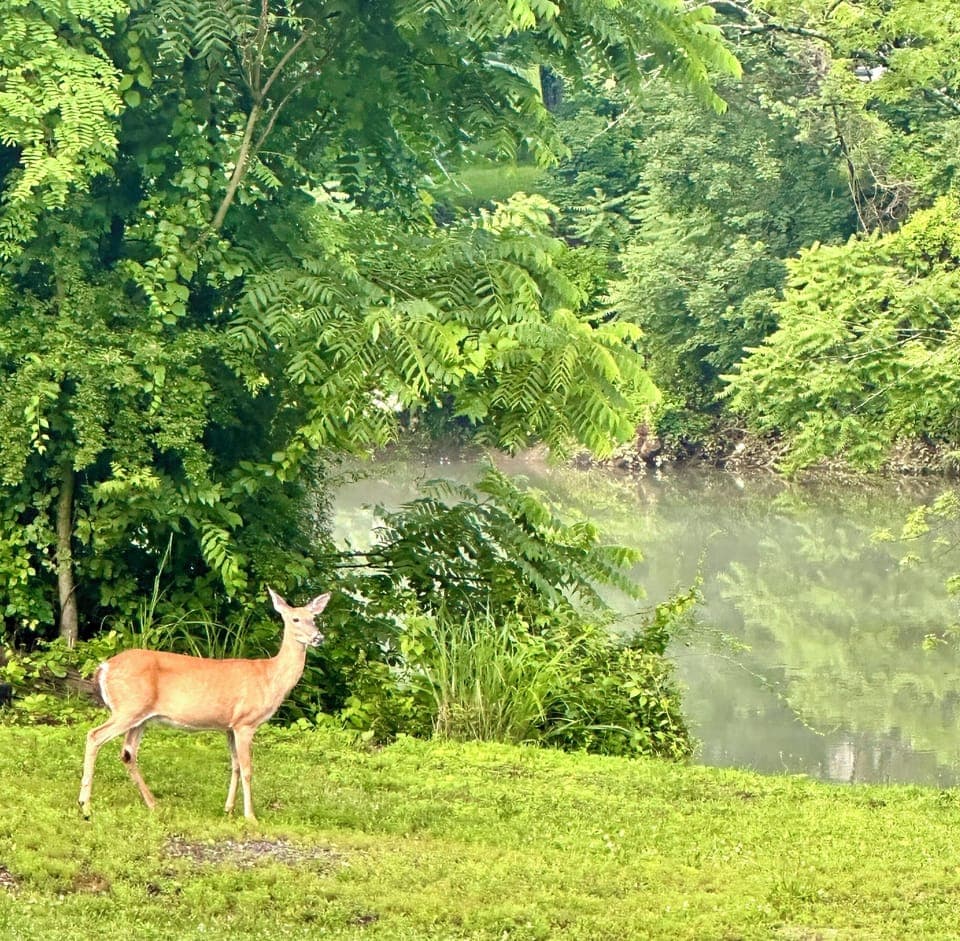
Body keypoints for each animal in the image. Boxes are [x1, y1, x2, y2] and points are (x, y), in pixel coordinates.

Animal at [78, 588, 330, 821]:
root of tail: (104, 667)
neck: (270, 677)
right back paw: (85, 806)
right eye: (295, 619)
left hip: (141, 716)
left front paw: (228, 809)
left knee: (128, 753)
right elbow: (247, 769)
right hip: (128, 708)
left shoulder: (230, 726)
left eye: (314, 618)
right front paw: (250, 816)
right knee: (94, 735)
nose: (318, 637)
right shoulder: (246, 722)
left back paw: (153, 804)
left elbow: (234, 765)